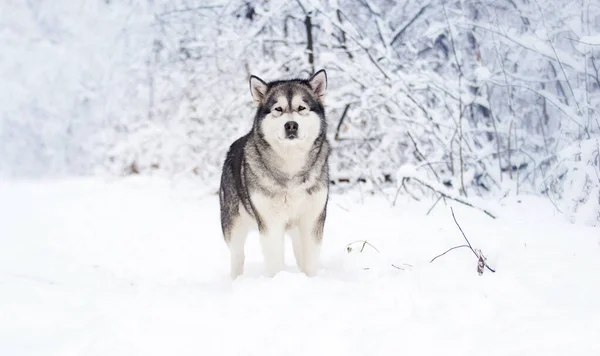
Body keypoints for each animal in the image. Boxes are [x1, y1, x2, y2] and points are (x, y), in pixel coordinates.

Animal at [219, 69, 332, 280]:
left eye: (301, 108)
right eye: (278, 109)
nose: (291, 125)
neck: (291, 165)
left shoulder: (312, 219)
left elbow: (310, 260)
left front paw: (310, 280)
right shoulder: (270, 222)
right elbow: (274, 261)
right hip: (233, 225)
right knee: (237, 256)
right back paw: (236, 279)